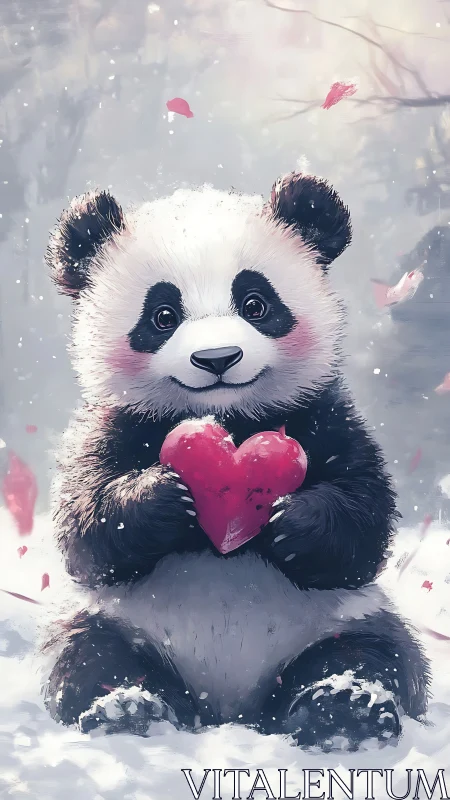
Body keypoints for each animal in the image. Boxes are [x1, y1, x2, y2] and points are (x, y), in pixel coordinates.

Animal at [43, 172, 430, 751]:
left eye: (255, 303)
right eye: (162, 315)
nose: (217, 359)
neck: (229, 417)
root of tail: (230, 710)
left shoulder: (327, 416)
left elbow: (364, 519)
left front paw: (294, 519)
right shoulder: (109, 423)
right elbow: (84, 530)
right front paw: (161, 497)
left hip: (344, 618)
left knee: (373, 655)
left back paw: (343, 712)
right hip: (115, 619)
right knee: (88, 657)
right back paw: (131, 711)